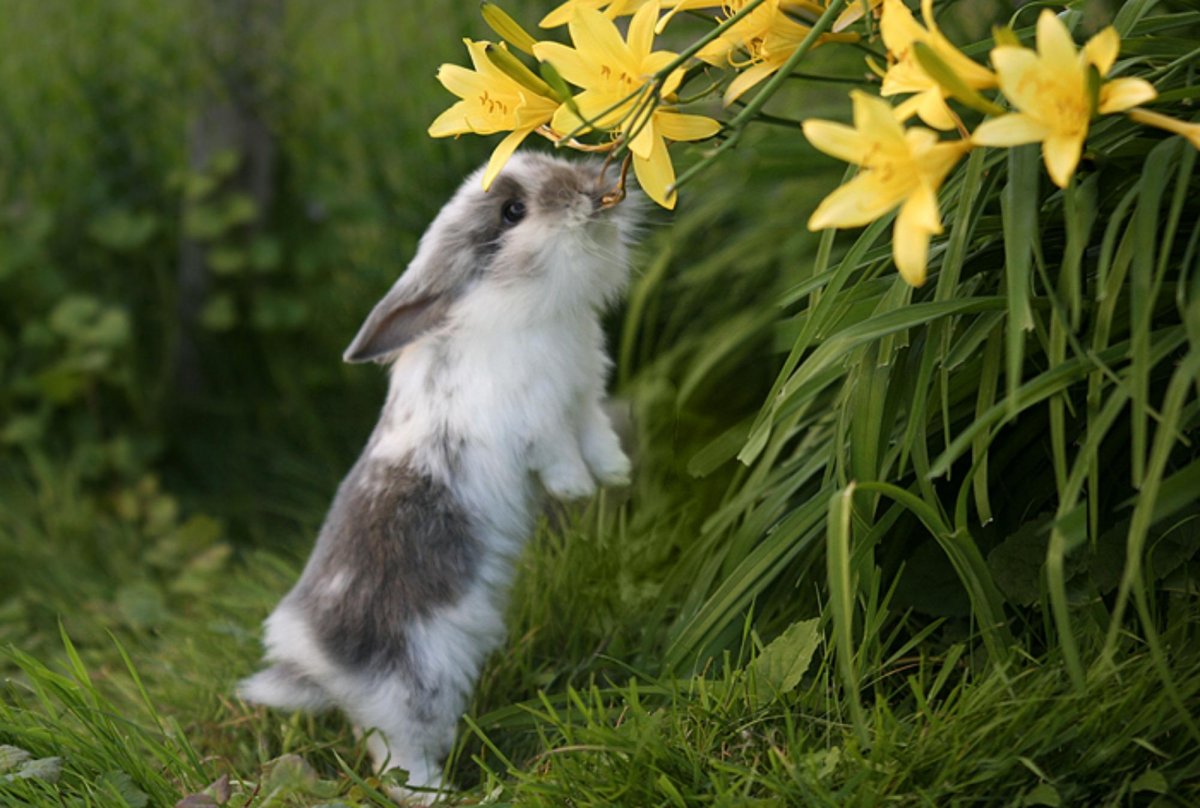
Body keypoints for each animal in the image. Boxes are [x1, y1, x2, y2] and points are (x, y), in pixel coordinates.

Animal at [237, 151, 643, 801]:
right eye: (512, 211)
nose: (590, 187)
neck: (515, 306)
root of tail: (317, 661)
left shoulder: (583, 398)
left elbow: (595, 436)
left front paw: (614, 473)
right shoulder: (537, 422)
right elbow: (558, 454)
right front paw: (576, 490)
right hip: (416, 690)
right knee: (399, 766)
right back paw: (463, 794)